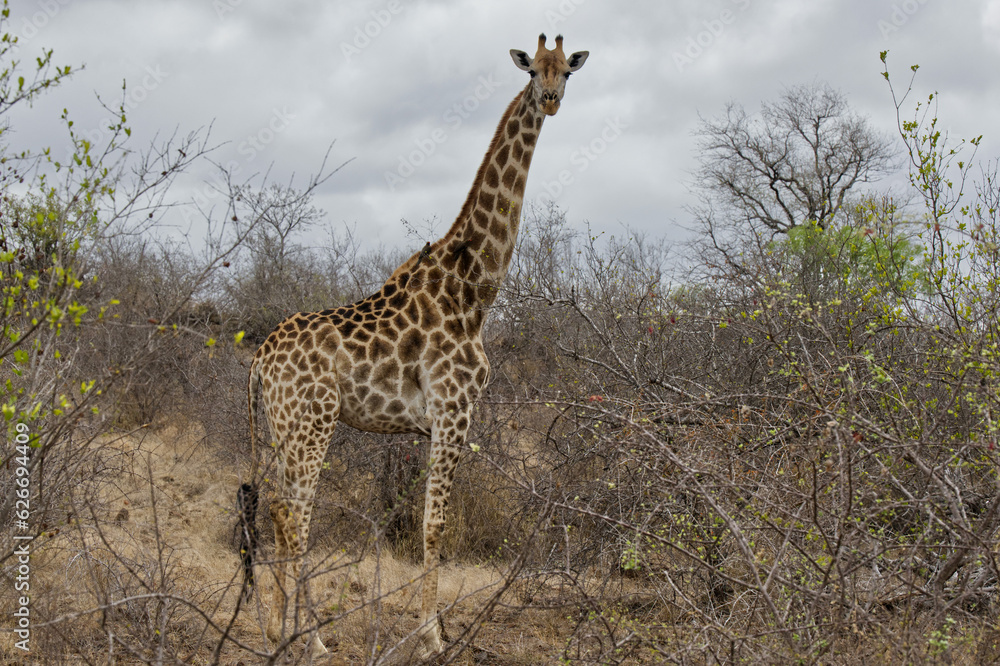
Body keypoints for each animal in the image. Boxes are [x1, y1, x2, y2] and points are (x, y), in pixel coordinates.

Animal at [239, 34, 588, 657]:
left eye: (566, 72)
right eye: (533, 72)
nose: (550, 100)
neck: (474, 290)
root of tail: (259, 358)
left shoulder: (433, 423)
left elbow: (430, 520)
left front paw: (432, 628)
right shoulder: (454, 411)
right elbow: (434, 524)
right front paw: (432, 635)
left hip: (280, 426)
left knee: (277, 509)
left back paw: (275, 629)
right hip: (311, 423)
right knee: (294, 514)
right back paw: (309, 640)